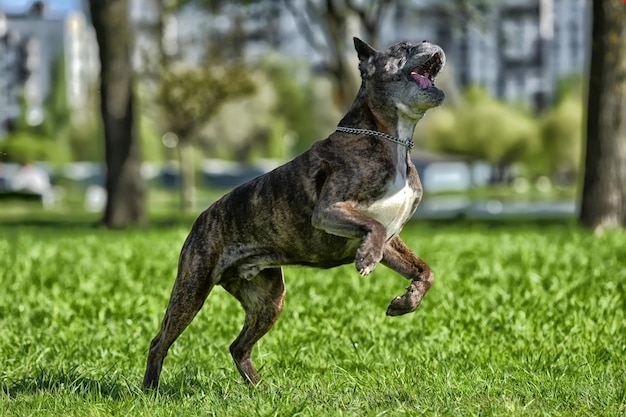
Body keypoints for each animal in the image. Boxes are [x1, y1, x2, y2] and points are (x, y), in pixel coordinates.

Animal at [141, 37, 444, 388]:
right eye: (404, 47)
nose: (429, 42)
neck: (390, 138)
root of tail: (201, 219)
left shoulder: (391, 241)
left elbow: (424, 271)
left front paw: (405, 302)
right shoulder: (330, 210)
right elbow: (373, 228)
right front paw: (366, 259)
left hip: (269, 298)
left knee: (238, 347)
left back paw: (260, 388)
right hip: (192, 289)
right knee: (160, 341)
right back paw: (151, 390)